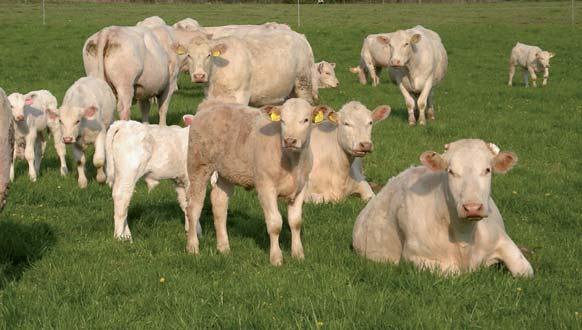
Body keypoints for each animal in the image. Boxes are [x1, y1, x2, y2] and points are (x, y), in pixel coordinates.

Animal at [175, 30, 320, 105]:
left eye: (209, 55)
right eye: (189, 55)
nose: (199, 76)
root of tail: (300, 36)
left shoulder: (241, 96)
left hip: (303, 84)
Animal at [185, 98, 336, 266]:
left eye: (306, 120)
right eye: (282, 120)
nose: (290, 140)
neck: (291, 161)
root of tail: (210, 104)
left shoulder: (301, 188)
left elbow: (295, 222)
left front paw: (298, 255)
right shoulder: (265, 186)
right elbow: (275, 223)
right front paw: (276, 258)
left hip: (226, 171)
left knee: (219, 202)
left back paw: (224, 247)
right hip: (198, 165)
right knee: (193, 207)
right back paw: (192, 247)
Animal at [354, 138, 536, 278]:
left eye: (487, 169)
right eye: (451, 171)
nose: (472, 208)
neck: (465, 235)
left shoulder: (503, 240)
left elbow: (524, 270)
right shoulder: (416, 256)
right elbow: (454, 271)